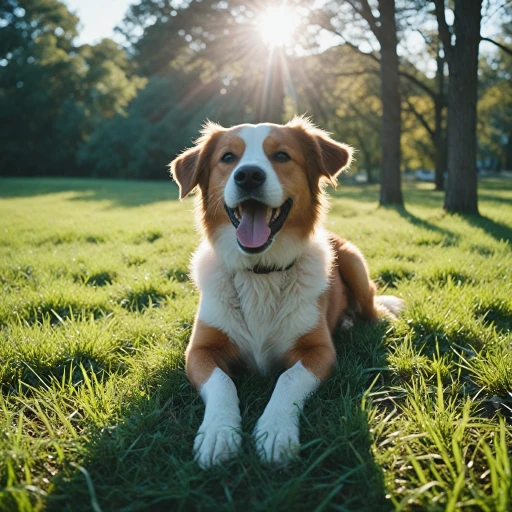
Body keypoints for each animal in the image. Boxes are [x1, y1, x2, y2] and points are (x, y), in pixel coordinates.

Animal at [171, 116, 404, 468]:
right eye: (228, 157)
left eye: (281, 155)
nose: (249, 175)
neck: (260, 273)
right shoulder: (200, 351)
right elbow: (222, 382)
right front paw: (218, 433)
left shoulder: (320, 352)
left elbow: (288, 378)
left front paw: (276, 431)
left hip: (353, 261)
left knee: (371, 306)